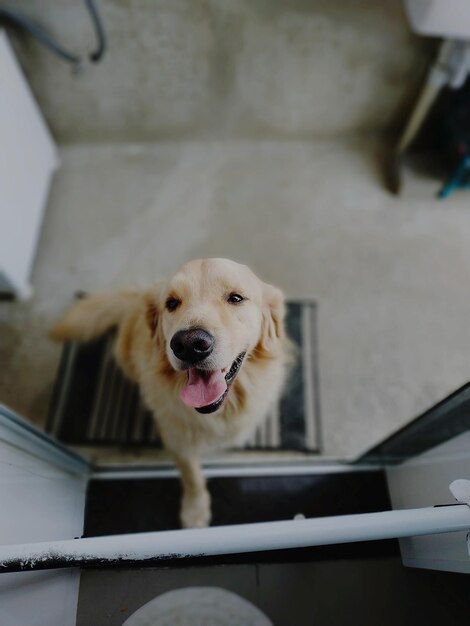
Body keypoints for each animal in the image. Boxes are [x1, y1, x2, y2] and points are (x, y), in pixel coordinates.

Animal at [53, 256, 292, 524]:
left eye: (236, 298)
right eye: (172, 303)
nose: (189, 345)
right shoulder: (176, 437)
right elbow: (191, 475)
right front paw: (195, 510)